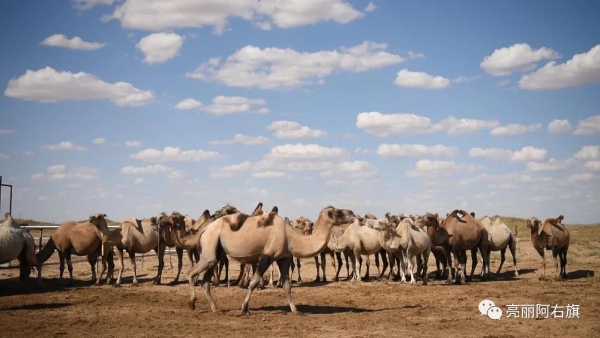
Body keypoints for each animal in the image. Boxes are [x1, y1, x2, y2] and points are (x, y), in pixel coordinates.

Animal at [189, 206, 356, 314]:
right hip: (210, 247)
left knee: (205, 281)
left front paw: (296, 310)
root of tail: (204, 230)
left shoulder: (284, 258)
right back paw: (192, 304)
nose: (353, 214)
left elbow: (287, 286)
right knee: (192, 273)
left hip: (216, 252)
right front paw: (243, 309)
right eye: (336, 211)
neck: (290, 237)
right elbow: (253, 283)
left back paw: (215, 310)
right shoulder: (266, 256)